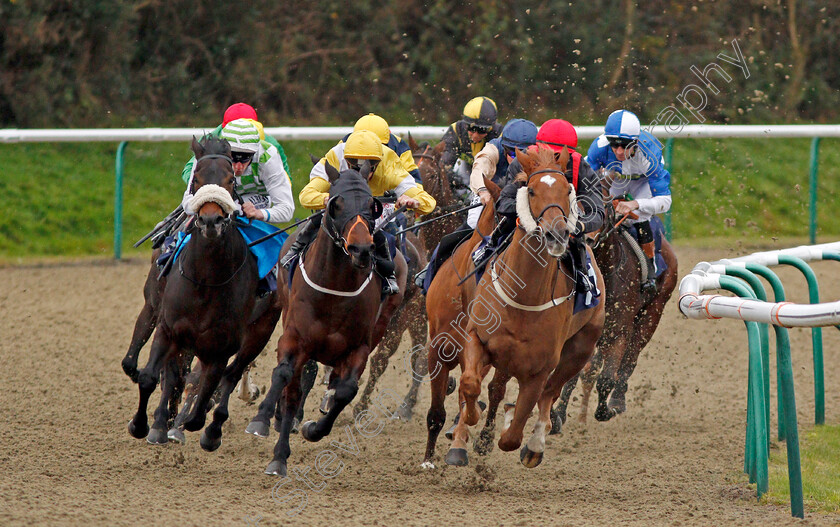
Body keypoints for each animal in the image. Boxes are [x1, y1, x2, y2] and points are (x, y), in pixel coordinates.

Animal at [124, 136, 282, 450]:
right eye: (195, 178)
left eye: (231, 180)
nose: (211, 220)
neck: (206, 280)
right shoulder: (169, 328)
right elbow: (151, 377)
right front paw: (142, 425)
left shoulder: (221, 345)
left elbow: (206, 390)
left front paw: (195, 425)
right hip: (154, 305)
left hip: (260, 331)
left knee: (229, 374)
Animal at [248, 162, 406, 478]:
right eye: (336, 203)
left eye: (371, 205)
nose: (361, 249)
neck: (336, 288)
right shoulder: (295, 339)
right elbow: (285, 376)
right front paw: (265, 426)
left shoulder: (357, 348)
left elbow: (345, 390)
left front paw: (313, 428)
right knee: (292, 386)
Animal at [426, 145, 604, 470]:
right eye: (530, 190)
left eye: (568, 190)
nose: (557, 234)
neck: (524, 296)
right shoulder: (468, 340)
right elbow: (469, 387)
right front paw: (464, 429)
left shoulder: (539, 365)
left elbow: (515, 430)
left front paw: (508, 433)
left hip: (579, 349)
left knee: (550, 392)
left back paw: (534, 444)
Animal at [556, 198, 680, 428]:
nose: (586, 239)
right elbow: (572, 374)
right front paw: (557, 414)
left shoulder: (619, 330)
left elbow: (606, 379)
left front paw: (606, 410)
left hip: (652, 315)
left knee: (630, 358)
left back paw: (618, 400)